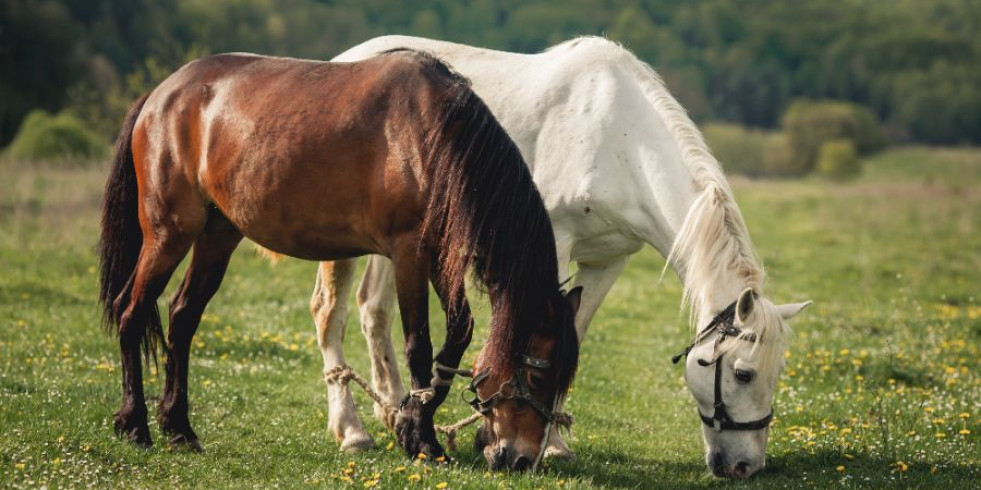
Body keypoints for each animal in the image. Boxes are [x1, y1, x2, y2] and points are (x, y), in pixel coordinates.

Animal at [95, 48, 580, 468]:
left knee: (182, 319)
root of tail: (160, 95)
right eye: (538, 376)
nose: (521, 459)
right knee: (132, 312)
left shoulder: (440, 256)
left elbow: (458, 334)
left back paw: (179, 428)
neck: (433, 137)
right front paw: (422, 439)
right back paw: (135, 425)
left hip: (217, 237)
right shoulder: (409, 253)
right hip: (168, 234)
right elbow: (419, 346)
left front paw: (411, 423)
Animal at [314, 35, 812, 478]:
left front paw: (551, 441)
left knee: (373, 310)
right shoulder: (551, 247)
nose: (745, 467)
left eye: (778, 372)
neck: (620, 142)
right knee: (330, 312)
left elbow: (573, 333)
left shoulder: (608, 261)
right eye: (743, 374)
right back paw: (352, 430)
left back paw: (394, 410)